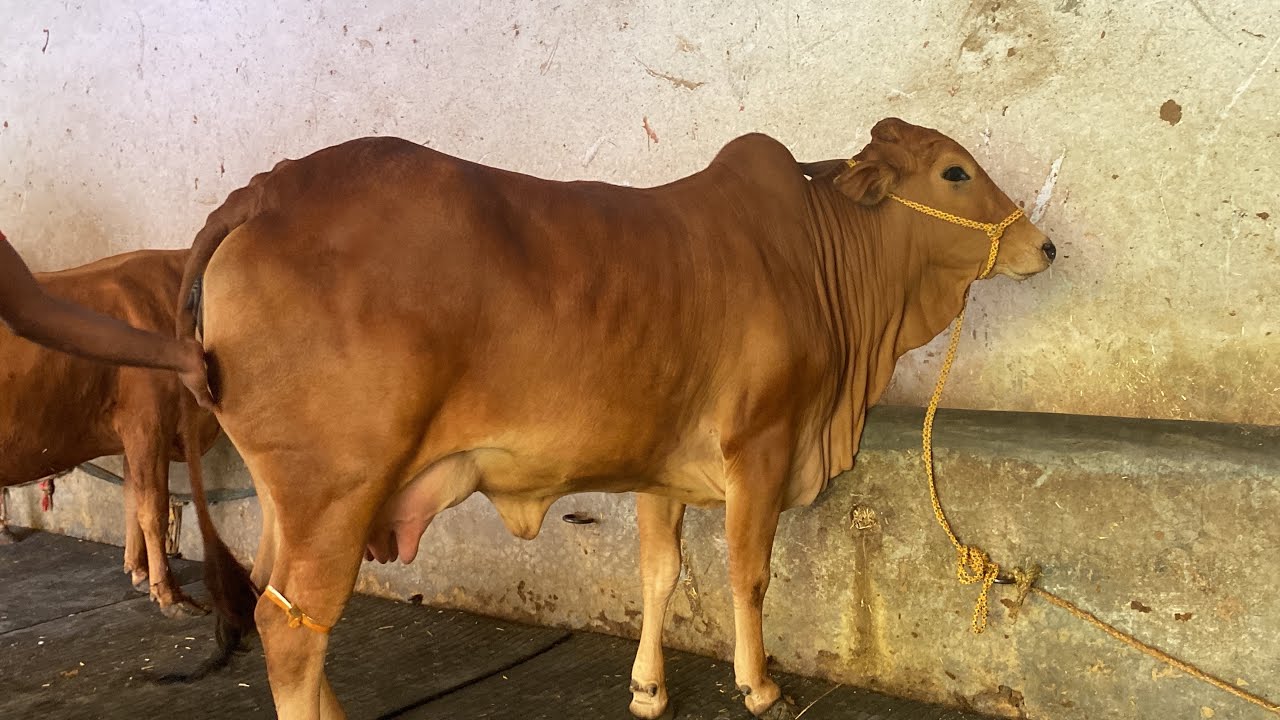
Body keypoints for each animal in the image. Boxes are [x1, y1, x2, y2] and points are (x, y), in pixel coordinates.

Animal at [0, 248, 221, 617]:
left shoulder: (132, 434)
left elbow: (131, 500)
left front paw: (140, 573)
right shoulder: (147, 424)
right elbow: (152, 509)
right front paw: (170, 595)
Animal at [173, 117, 1053, 719]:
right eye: (954, 172)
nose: (1043, 247)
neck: (816, 255)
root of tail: (267, 189)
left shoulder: (659, 467)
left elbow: (658, 573)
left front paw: (648, 688)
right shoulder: (760, 447)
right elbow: (749, 572)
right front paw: (759, 685)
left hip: (293, 503)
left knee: (288, 616)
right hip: (336, 494)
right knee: (291, 630)